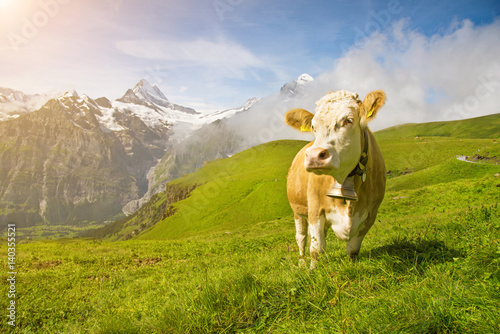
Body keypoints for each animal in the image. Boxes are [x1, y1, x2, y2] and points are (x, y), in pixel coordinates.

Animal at [286, 89, 386, 268]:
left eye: (348, 120)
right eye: (313, 126)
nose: (314, 156)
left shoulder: (371, 214)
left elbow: (352, 250)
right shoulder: (315, 209)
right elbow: (316, 249)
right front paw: (312, 270)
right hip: (298, 211)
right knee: (302, 238)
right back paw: (302, 262)